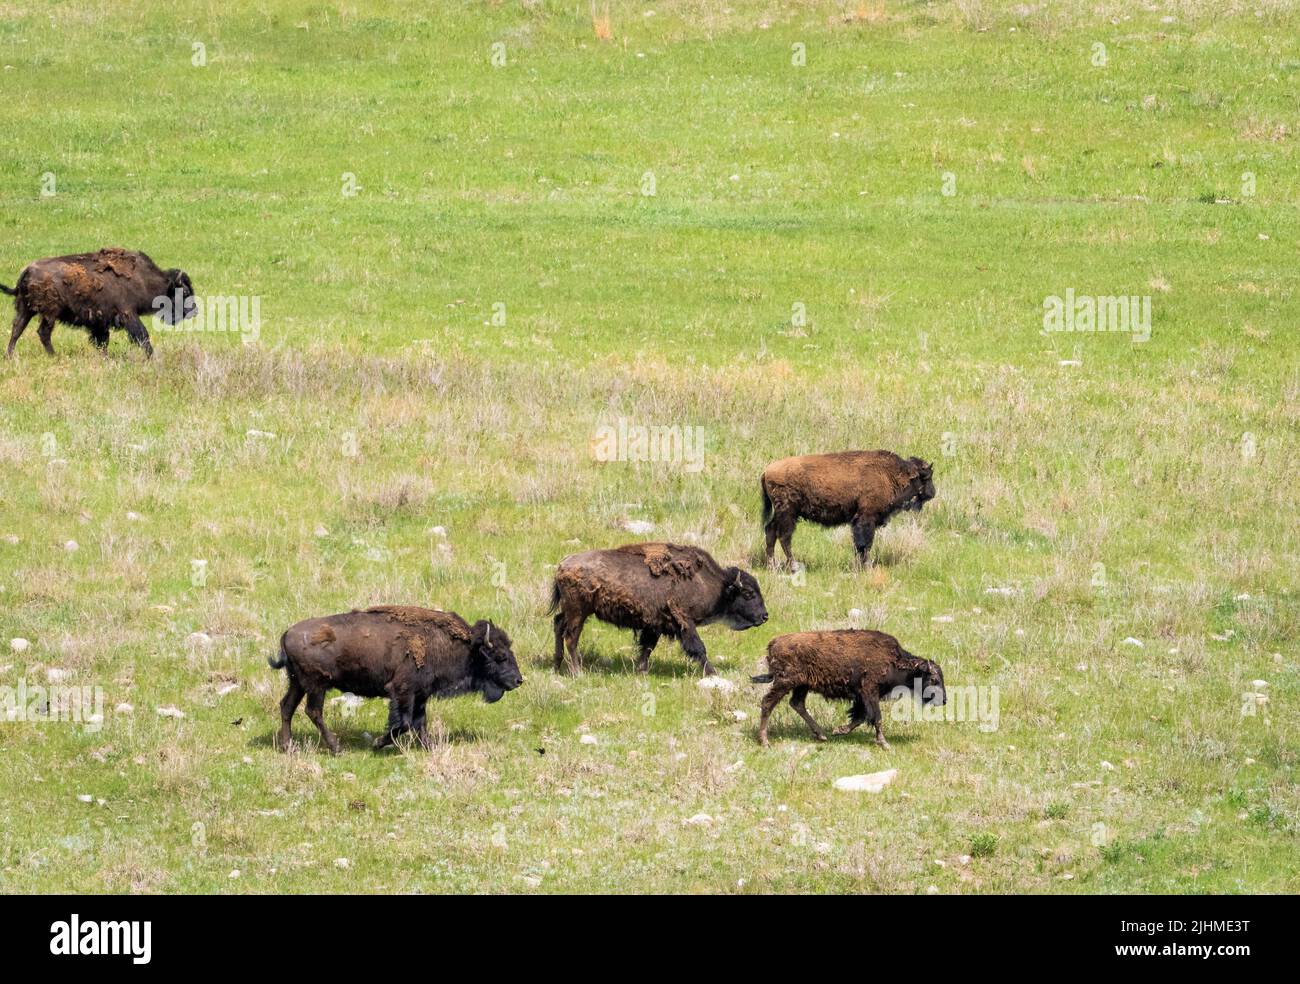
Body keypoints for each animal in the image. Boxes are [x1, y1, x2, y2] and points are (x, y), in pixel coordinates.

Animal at [1, 245, 195, 356]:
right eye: (185, 291)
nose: (194, 310)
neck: (142, 279)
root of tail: (27, 270)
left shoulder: (101, 322)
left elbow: (102, 341)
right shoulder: (128, 314)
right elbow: (142, 336)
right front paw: (151, 357)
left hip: (26, 309)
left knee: (17, 329)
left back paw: (10, 356)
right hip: (48, 313)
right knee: (43, 333)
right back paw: (53, 356)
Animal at [269, 597, 522, 753]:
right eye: (500, 656)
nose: (519, 680)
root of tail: (287, 633)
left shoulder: (421, 695)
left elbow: (419, 723)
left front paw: (429, 746)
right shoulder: (402, 691)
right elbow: (403, 723)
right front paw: (378, 743)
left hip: (298, 684)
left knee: (287, 706)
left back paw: (287, 746)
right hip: (316, 686)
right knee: (313, 711)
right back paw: (336, 748)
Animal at [546, 545, 764, 675]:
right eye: (748, 593)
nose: (765, 616)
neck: (716, 585)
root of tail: (563, 565)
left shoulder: (655, 625)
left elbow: (647, 647)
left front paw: (641, 670)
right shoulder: (685, 622)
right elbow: (698, 648)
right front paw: (712, 672)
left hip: (571, 611)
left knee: (558, 625)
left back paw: (557, 666)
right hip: (578, 612)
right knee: (571, 638)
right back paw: (577, 672)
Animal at [754, 629, 946, 743]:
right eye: (933, 679)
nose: (944, 700)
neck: (894, 660)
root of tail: (773, 643)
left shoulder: (862, 698)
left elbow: (860, 717)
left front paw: (839, 730)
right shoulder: (869, 693)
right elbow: (876, 717)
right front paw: (884, 743)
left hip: (801, 685)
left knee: (797, 704)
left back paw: (822, 734)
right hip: (785, 683)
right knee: (768, 703)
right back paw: (764, 741)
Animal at [759, 447, 935, 564]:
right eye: (926, 477)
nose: (932, 493)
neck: (891, 474)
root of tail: (767, 471)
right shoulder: (866, 518)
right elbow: (865, 543)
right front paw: (866, 565)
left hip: (782, 513)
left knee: (770, 531)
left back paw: (772, 565)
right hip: (788, 513)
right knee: (784, 536)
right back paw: (792, 565)